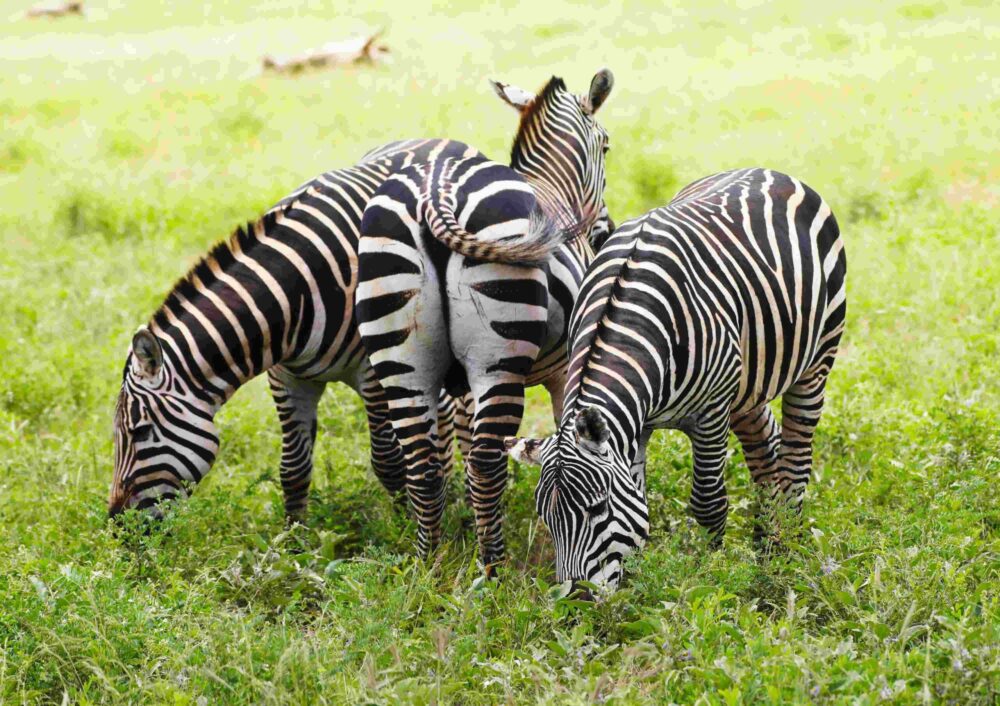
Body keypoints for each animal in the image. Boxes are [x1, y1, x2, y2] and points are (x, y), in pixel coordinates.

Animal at [354, 70, 614, 573]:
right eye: (607, 147)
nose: (605, 232)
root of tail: (435, 190)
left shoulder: (458, 389)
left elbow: (454, 441)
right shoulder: (563, 371)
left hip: (401, 356)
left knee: (422, 463)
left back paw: (429, 566)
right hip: (499, 360)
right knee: (486, 461)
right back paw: (493, 570)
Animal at [507, 168, 847, 594]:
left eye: (598, 507)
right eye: (546, 518)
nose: (577, 600)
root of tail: (766, 171)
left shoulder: (711, 413)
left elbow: (708, 503)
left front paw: (706, 577)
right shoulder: (636, 426)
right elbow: (639, 503)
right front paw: (635, 586)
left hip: (817, 360)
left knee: (796, 460)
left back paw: (788, 548)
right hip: (748, 381)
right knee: (766, 446)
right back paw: (766, 543)